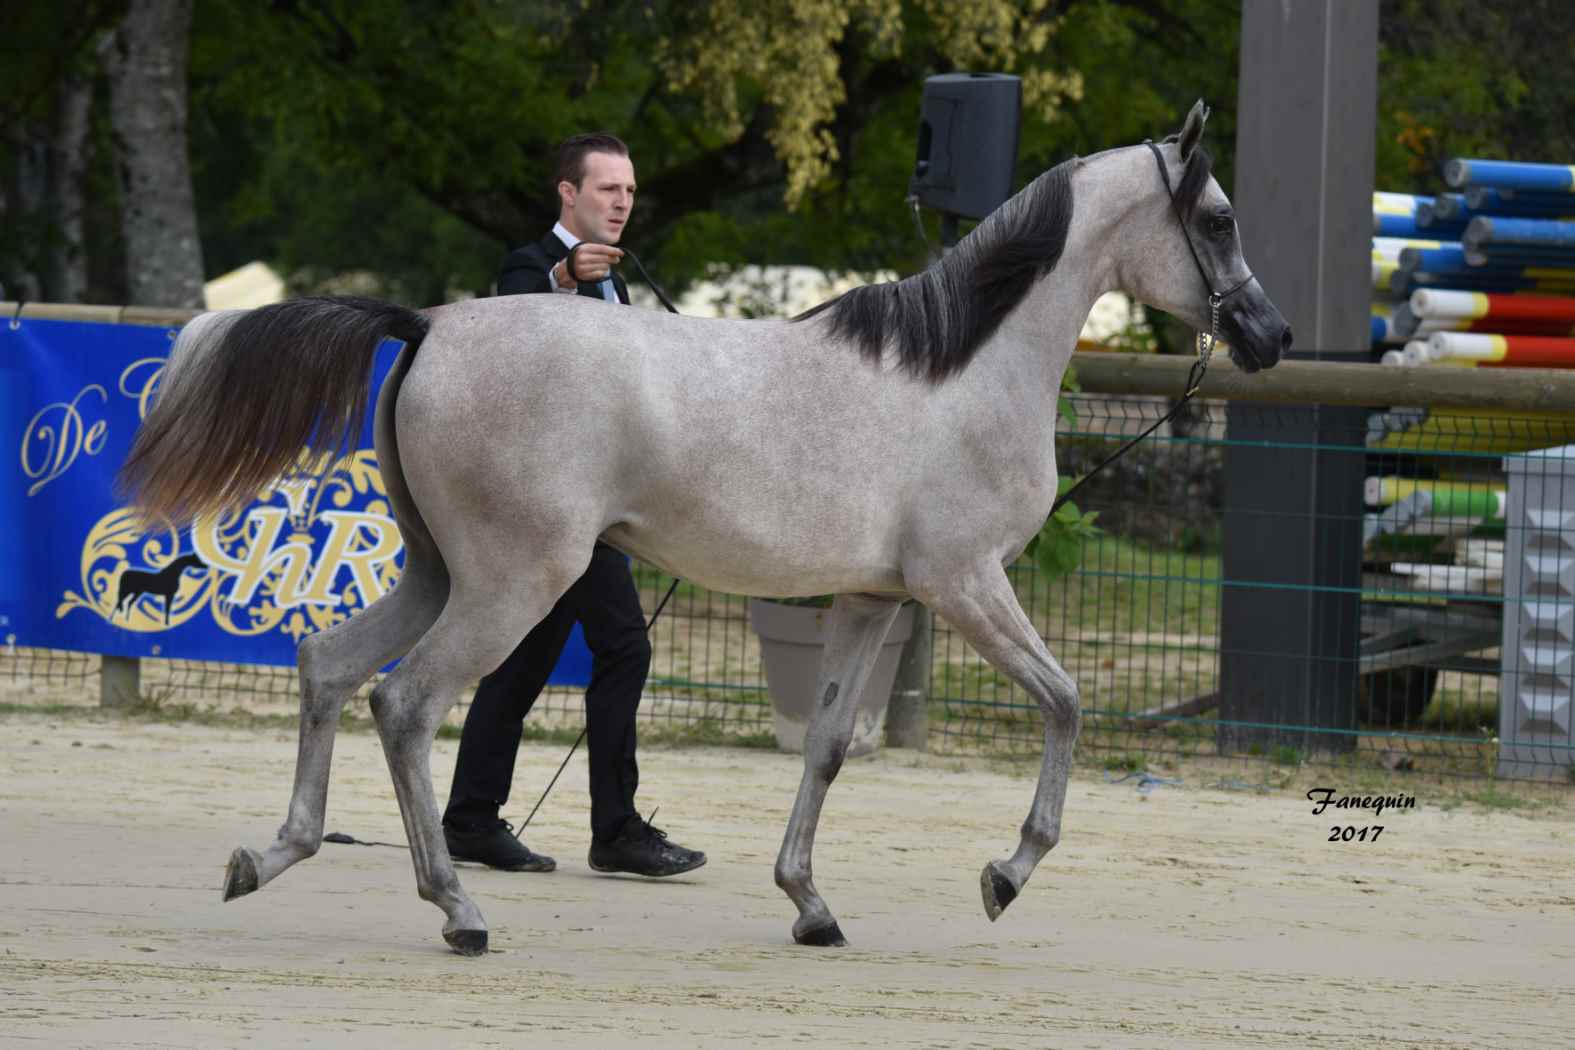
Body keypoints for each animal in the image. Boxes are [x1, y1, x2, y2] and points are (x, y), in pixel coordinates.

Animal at [119, 102, 1278, 957]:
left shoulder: (872, 601)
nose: (1271, 335)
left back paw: (270, 859)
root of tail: (429, 324)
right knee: (405, 704)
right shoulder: (966, 583)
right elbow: (1065, 703)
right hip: (511, 584)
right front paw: (1005, 874)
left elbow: (828, 747)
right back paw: (459, 909)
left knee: (325, 666)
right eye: (1219, 218)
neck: (960, 371)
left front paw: (810, 906)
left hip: (440, 572)